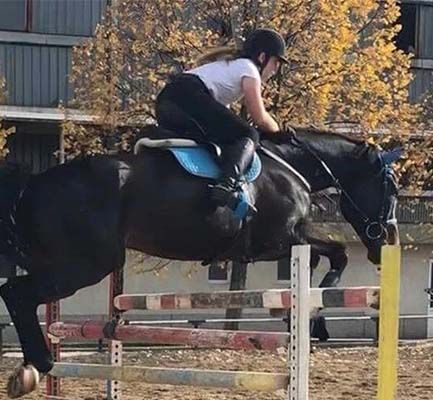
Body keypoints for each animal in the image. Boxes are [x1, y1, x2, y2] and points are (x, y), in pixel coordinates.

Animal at [0, 126, 400, 398]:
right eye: (391, 189)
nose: (387, 241)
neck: (292, 166)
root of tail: (34, 184)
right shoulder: (281, 239)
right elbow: (337, 253)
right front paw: (311, 317)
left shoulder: (284, 243)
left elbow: (322, 257)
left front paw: (300, 315)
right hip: (86, 264)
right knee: (16, 293)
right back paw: (37, 366)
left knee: (19, 294)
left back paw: (27, 369)